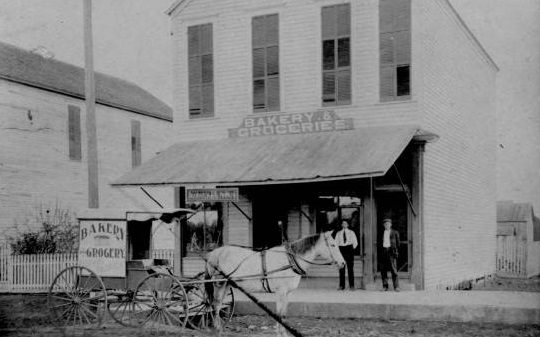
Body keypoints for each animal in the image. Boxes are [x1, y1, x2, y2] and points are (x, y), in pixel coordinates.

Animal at [202, 231, 346, 336]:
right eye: (333, 245)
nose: (343, 263)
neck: (289, 260)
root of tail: (214, 253)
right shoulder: (280, 292)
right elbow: (279, 314)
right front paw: (280, 333)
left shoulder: (288, 293)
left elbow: (283, 314)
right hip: (219, 283)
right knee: (216, 305)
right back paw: (217, 328)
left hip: (227, 284)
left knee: (219, 304)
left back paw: (220, 328)